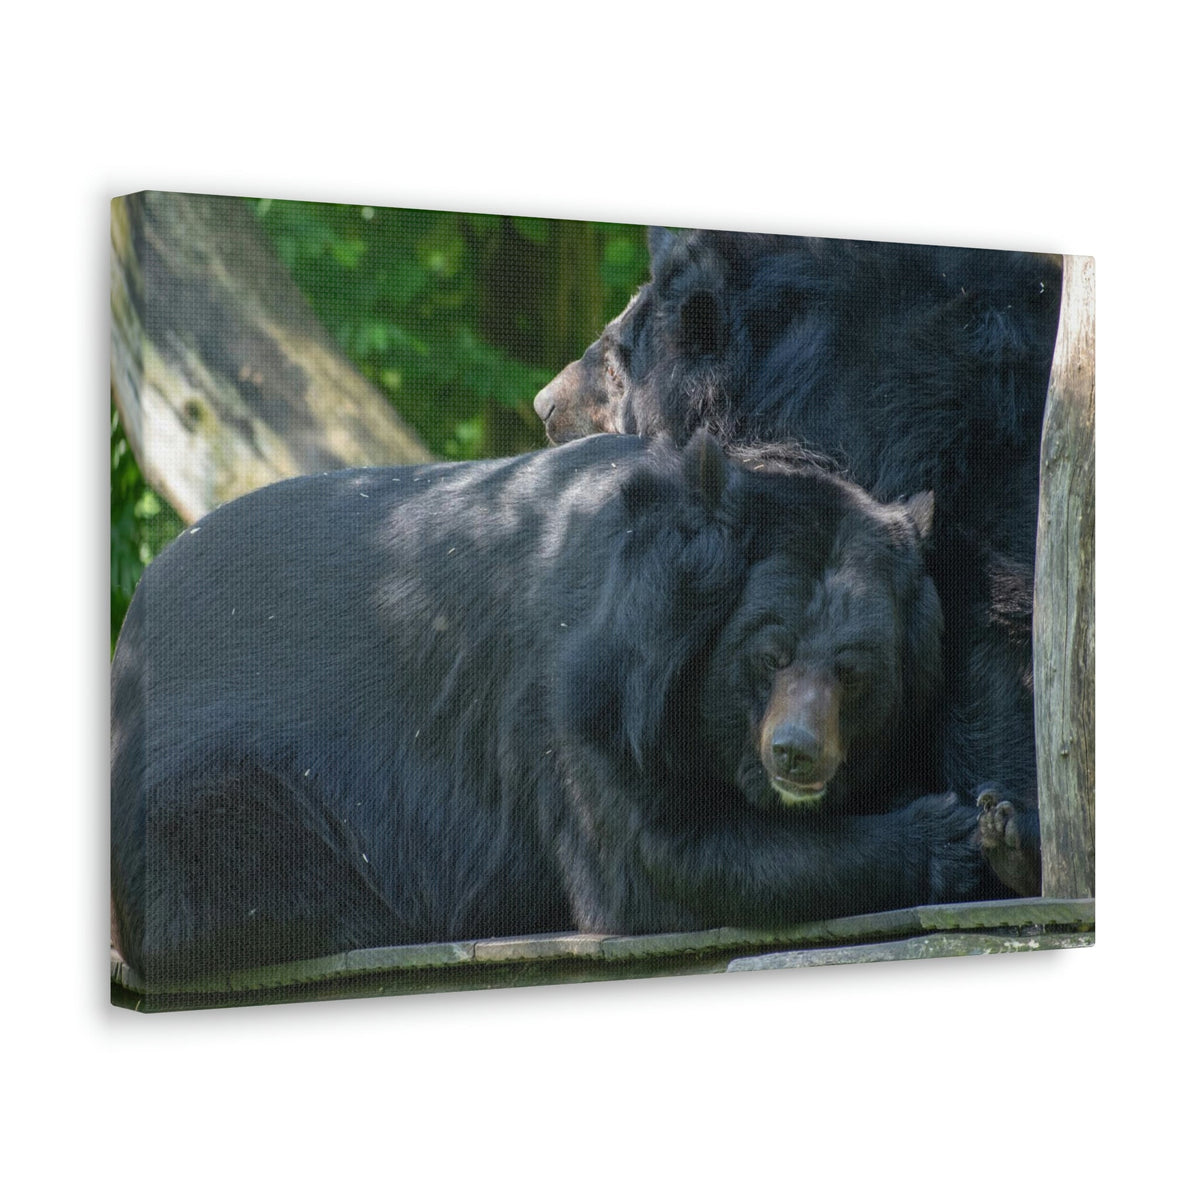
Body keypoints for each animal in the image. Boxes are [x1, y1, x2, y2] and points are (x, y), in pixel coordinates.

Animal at [110, 431, 980, 985]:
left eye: (854, 673)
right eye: (768, 655)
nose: (797, 753)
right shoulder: (584, 694)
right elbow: (658, 859)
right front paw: (953, 835)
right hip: (211, 781)